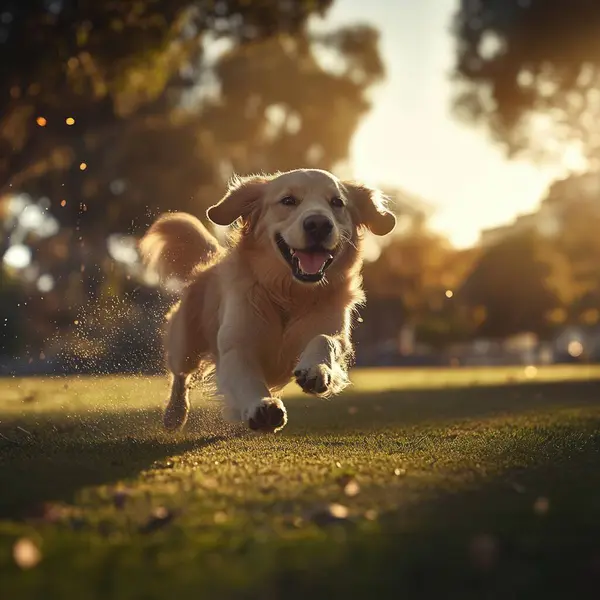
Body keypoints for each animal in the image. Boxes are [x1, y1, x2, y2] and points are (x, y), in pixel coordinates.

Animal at [138, 168, 396, 432]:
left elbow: (326, 340)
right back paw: (174, 414)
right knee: (180, 375)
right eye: (288, 200)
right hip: (186, 343)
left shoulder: (333, 332)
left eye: (337, 202)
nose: (319, 224)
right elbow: (246, 379)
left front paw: (317, 370)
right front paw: (261, 405)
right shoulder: (236, 345)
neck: (289, 294)